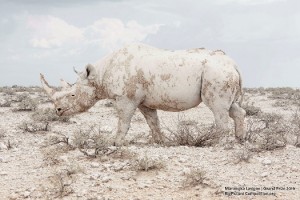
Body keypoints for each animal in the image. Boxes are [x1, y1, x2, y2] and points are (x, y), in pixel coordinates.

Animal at [39, 43, 246, 145]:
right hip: (220, 72)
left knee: (218, 108)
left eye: (72, 95)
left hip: (216, 73)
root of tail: (233, 63)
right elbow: (152, 121)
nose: (58, 110)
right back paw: (240, 139)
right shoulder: (143, 101)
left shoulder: (125, 98)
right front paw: (160, 142)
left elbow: (123, 121)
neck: (99, 75)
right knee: (232, 108)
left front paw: (115, 143)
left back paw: (217, 143)